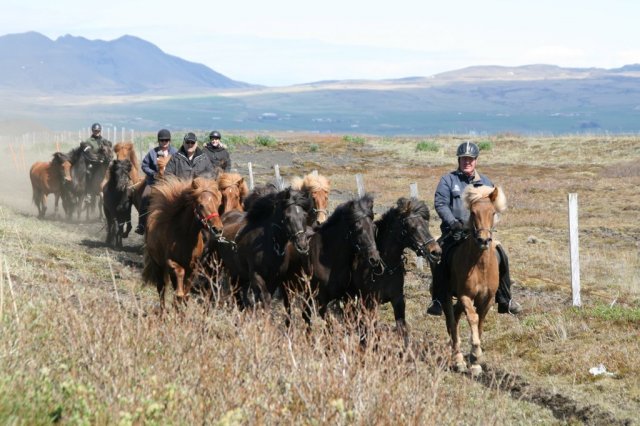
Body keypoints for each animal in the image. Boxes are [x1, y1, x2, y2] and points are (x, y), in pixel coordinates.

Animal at [144, 176, 224, 310]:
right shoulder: (171, 262)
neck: (185, 238)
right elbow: (179, 277)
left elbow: (186, 295)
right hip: (157, 265)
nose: (217, 229)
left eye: (218, 204)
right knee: (161, 289)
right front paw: (179, 295)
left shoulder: (193, 268)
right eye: (201, 205)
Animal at [348, 197, 442, 342]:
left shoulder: (398, 300)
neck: (385, 267)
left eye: (426, 225)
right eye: (412, 227)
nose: (436, 252)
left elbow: (402, 330)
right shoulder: (370, 303)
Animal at [440, 185, 504, 374]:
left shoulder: (487, 299)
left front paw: (475, 361)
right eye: (473, 213)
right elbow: (473, 318)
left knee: (455, 315)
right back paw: (458, 359)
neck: (480, 265)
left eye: (492, 212)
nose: (483, 240)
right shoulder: (465, 296)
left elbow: (481, 322)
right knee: (451, 319)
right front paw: (475, 353)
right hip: (446, 295)